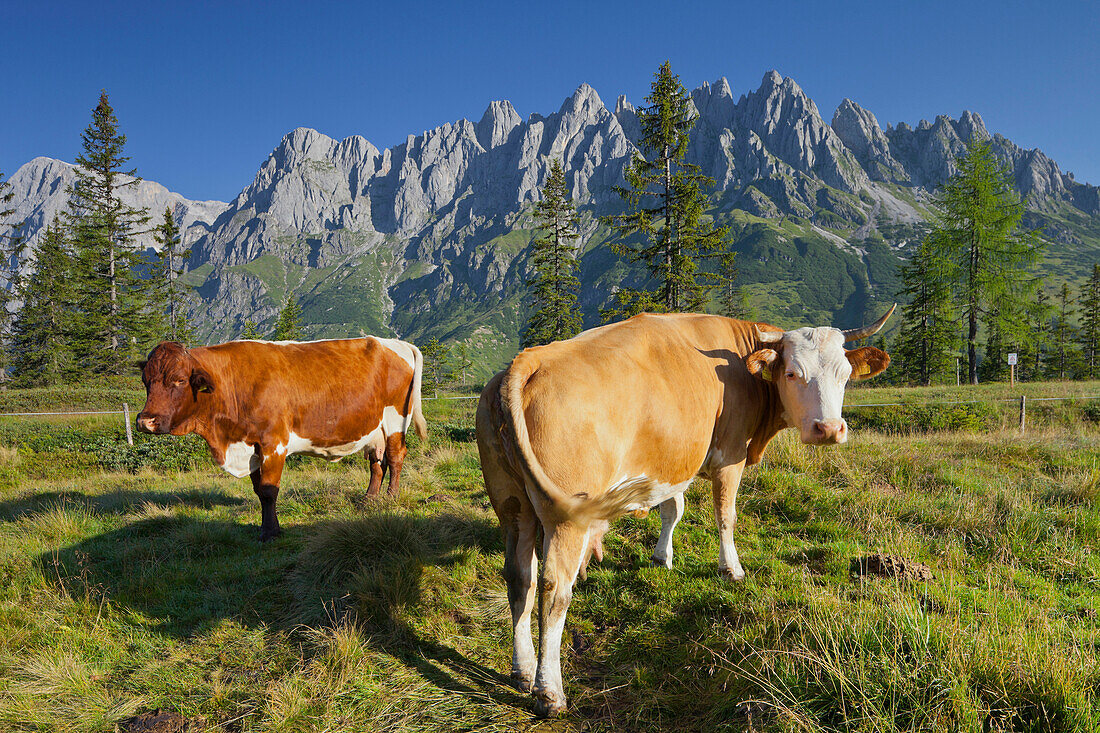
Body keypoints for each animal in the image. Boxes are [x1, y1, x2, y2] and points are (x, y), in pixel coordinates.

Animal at [136, 334, 424, 537]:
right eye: (146, 381)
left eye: (179, 380)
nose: (145, 421)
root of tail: (395, 343)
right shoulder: (250, 447)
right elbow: (258, 491)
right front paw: (267, 527)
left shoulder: (273, 444)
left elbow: (268, 491)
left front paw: (271, 532)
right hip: (374, 428)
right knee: (377, 462)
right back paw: (369, 499)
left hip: (396, 419)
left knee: (395, 457)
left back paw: (391, 497)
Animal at [475, 303, 893, 713]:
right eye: (792, 373)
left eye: (844, 375)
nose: (829, 429)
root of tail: (528, 359)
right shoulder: (730, 454)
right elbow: (725, 515)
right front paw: (731, 568)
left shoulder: (672, 462)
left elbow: (671, 509)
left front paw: (663, 557)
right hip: (564, 519)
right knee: (553, 589)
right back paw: (549, 690)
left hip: (512, 503)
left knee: (520, 578)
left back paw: (523, 669)